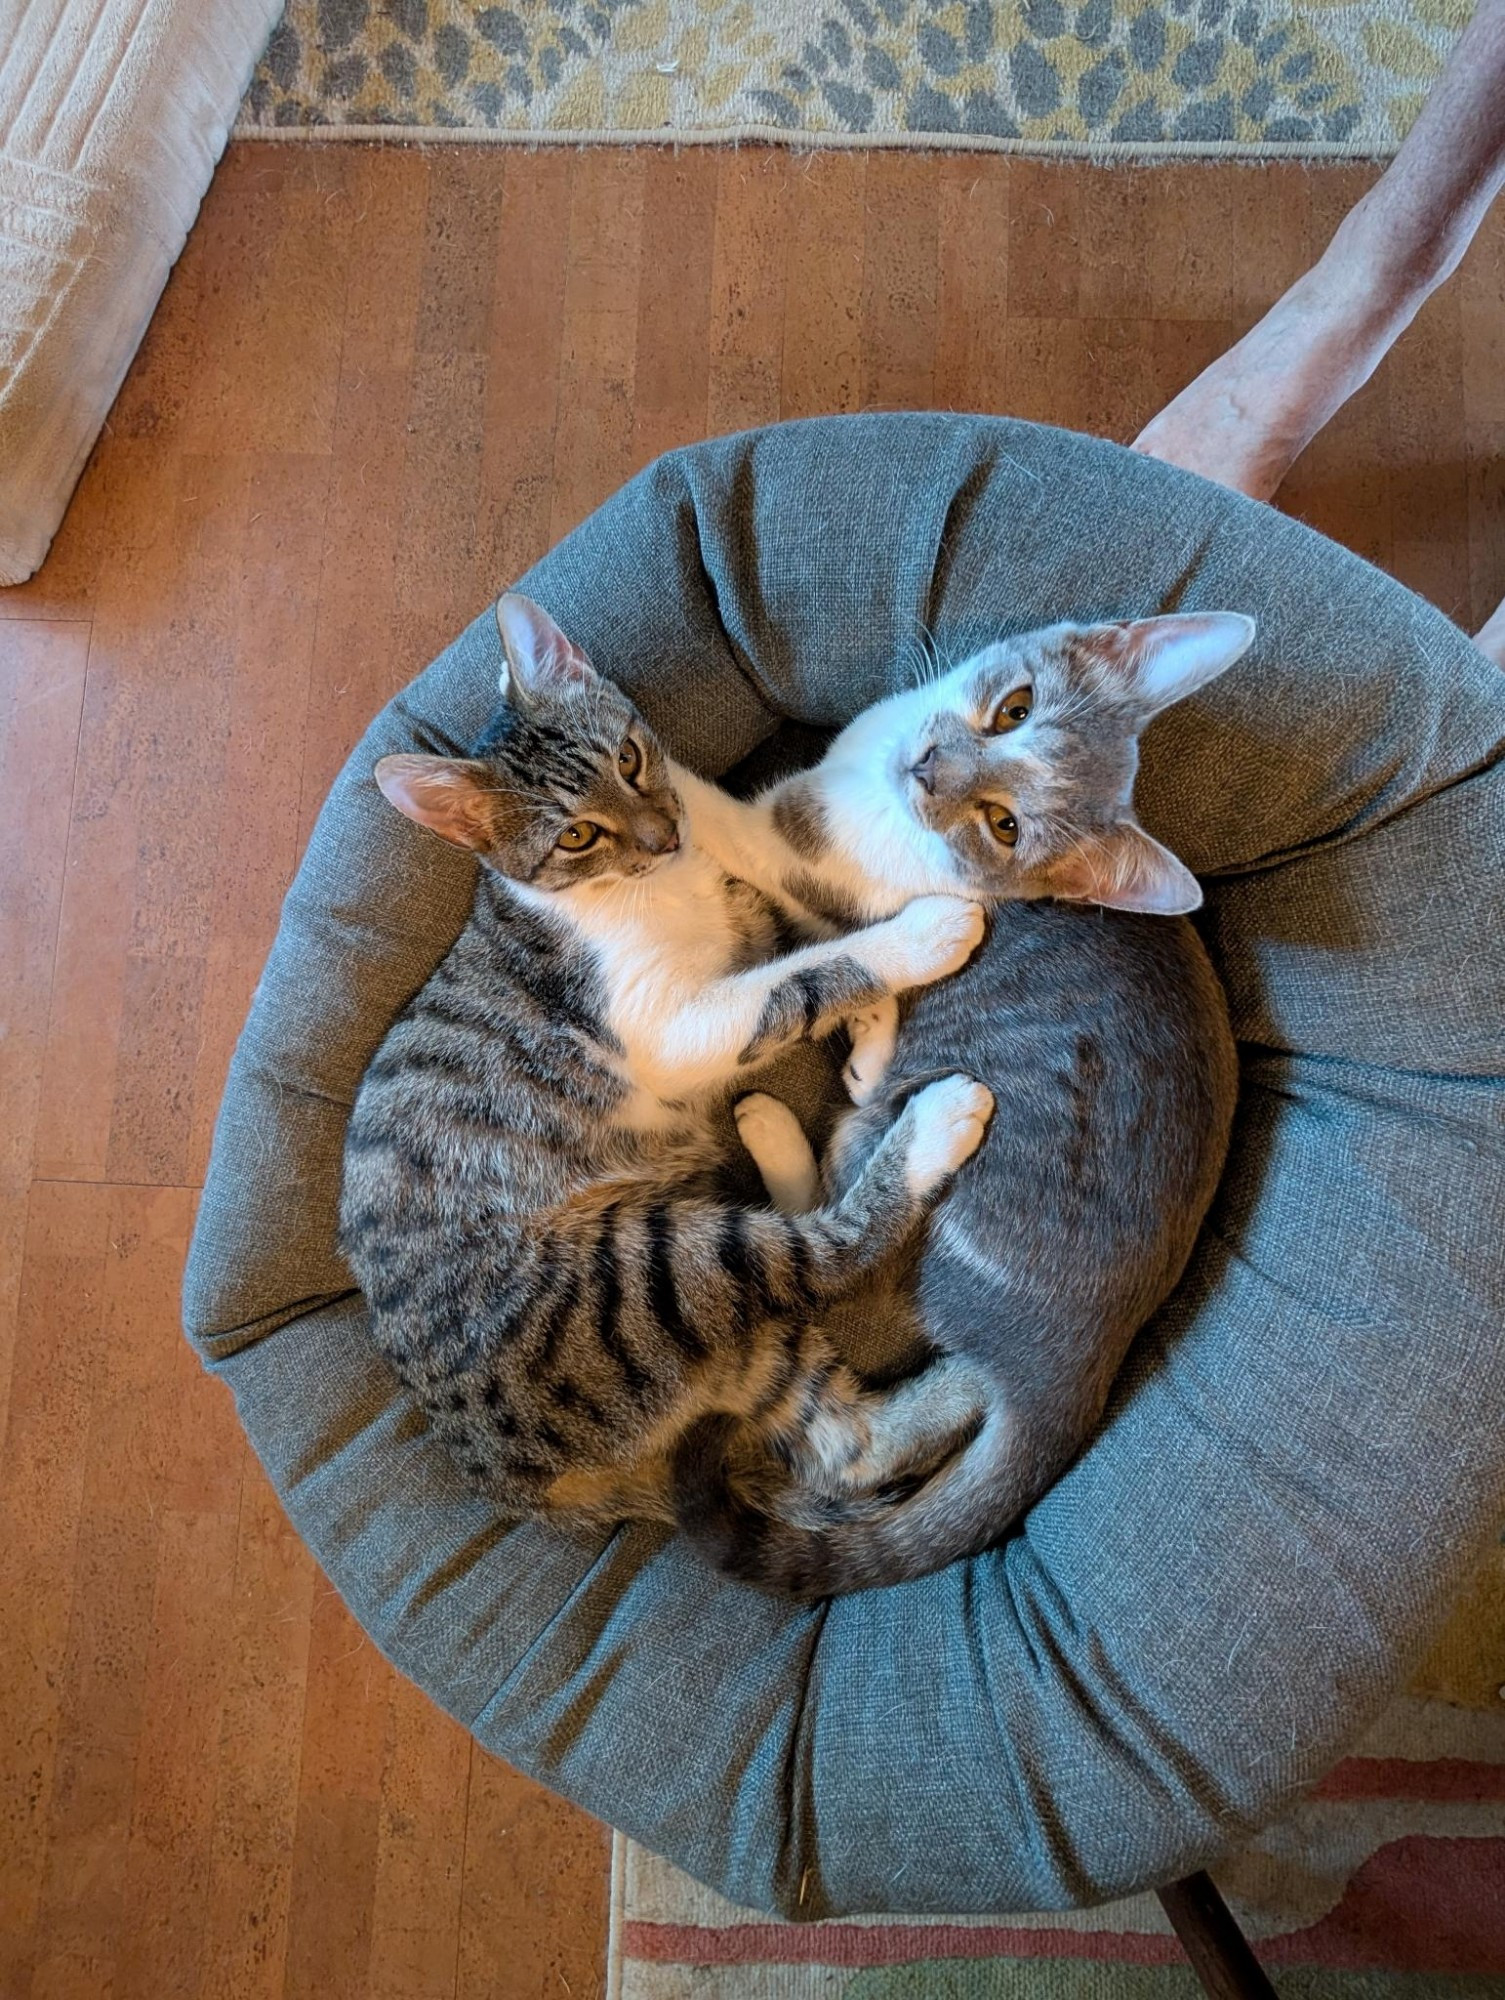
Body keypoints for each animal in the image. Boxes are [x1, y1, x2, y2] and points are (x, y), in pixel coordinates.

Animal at [340, 592, 1000, 1528]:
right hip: (640, 1281)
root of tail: (515, 1479)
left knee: (852, 1444)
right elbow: (804, 976)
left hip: (716, 1336)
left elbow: (801, 945)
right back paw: (931, 1125)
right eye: (577, 835)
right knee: (816, 1259)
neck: (652, 888)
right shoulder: (668, 1025)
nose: (664, 835)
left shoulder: (743, 917)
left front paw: (870, 1038)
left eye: (628, 756)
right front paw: (918, 936)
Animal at [676, 608, 1248, 1592]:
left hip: (899, 1160)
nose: (930, 769)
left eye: (1003, 824)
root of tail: (1082, 1361)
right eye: (1013, 707)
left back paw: (781, 1122)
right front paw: (866, 1022)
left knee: (836, 1237)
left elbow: (709, 815)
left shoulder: (787, 851)